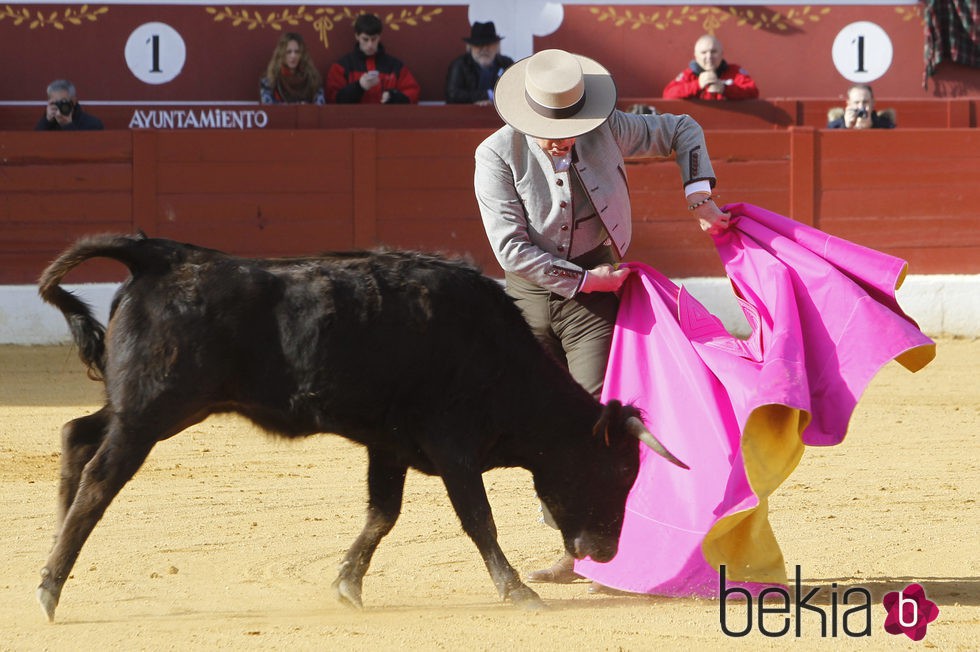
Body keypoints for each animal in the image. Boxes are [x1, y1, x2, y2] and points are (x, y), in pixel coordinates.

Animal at [34, 232, 684, 620]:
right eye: (617, 472)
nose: (606, 551)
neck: (493, 352)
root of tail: (161, 255)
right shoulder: (452, 445)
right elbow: (478, 517)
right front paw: (517, 591)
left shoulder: (389, 446)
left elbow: (382, 514)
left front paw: (348, 585)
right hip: (153, 412)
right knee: (100, 479)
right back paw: (49, 587)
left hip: (147, 407)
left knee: (77, 436)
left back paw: (53, 557)